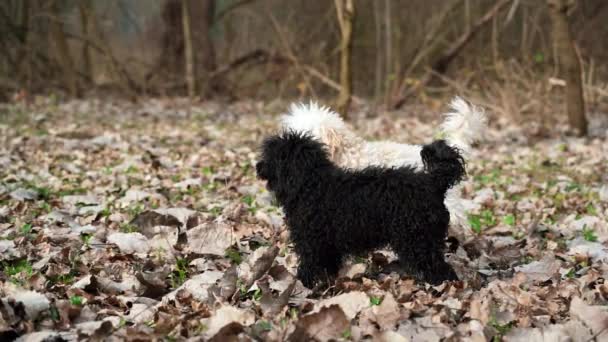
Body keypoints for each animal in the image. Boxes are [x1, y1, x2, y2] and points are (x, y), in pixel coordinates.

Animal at [256, 132, 466, 288]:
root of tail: (433, 182)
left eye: (273, 157)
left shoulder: (311, 242)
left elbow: (309, 266)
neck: (311, 184)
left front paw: (302, 284)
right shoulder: (327, 246)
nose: (257, 166)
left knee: (439, 267)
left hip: (418, 239)